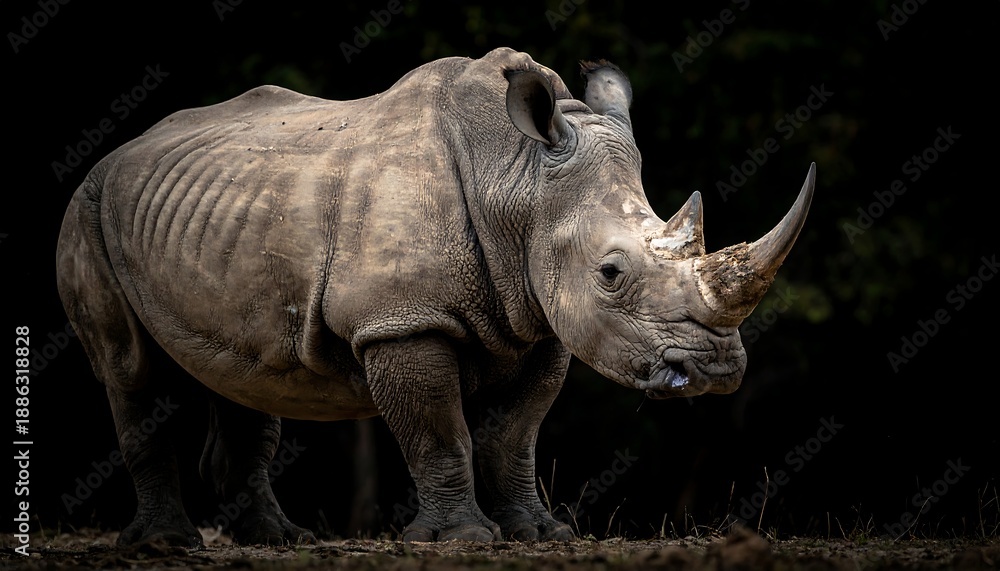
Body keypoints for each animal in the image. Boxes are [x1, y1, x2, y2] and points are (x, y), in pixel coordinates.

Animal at [56, 47, 814, 546]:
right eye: (610, 272)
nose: (715, 370)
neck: (517, 179)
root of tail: (118, 151)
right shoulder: (402, 321)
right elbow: (440, 429)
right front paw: (460, 540)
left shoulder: (541, 319)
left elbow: (515, 434)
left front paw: (541, 534)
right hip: (88, 211)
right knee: (131, 373)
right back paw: (168, 544)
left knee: (244, 371)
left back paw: (280, 540)